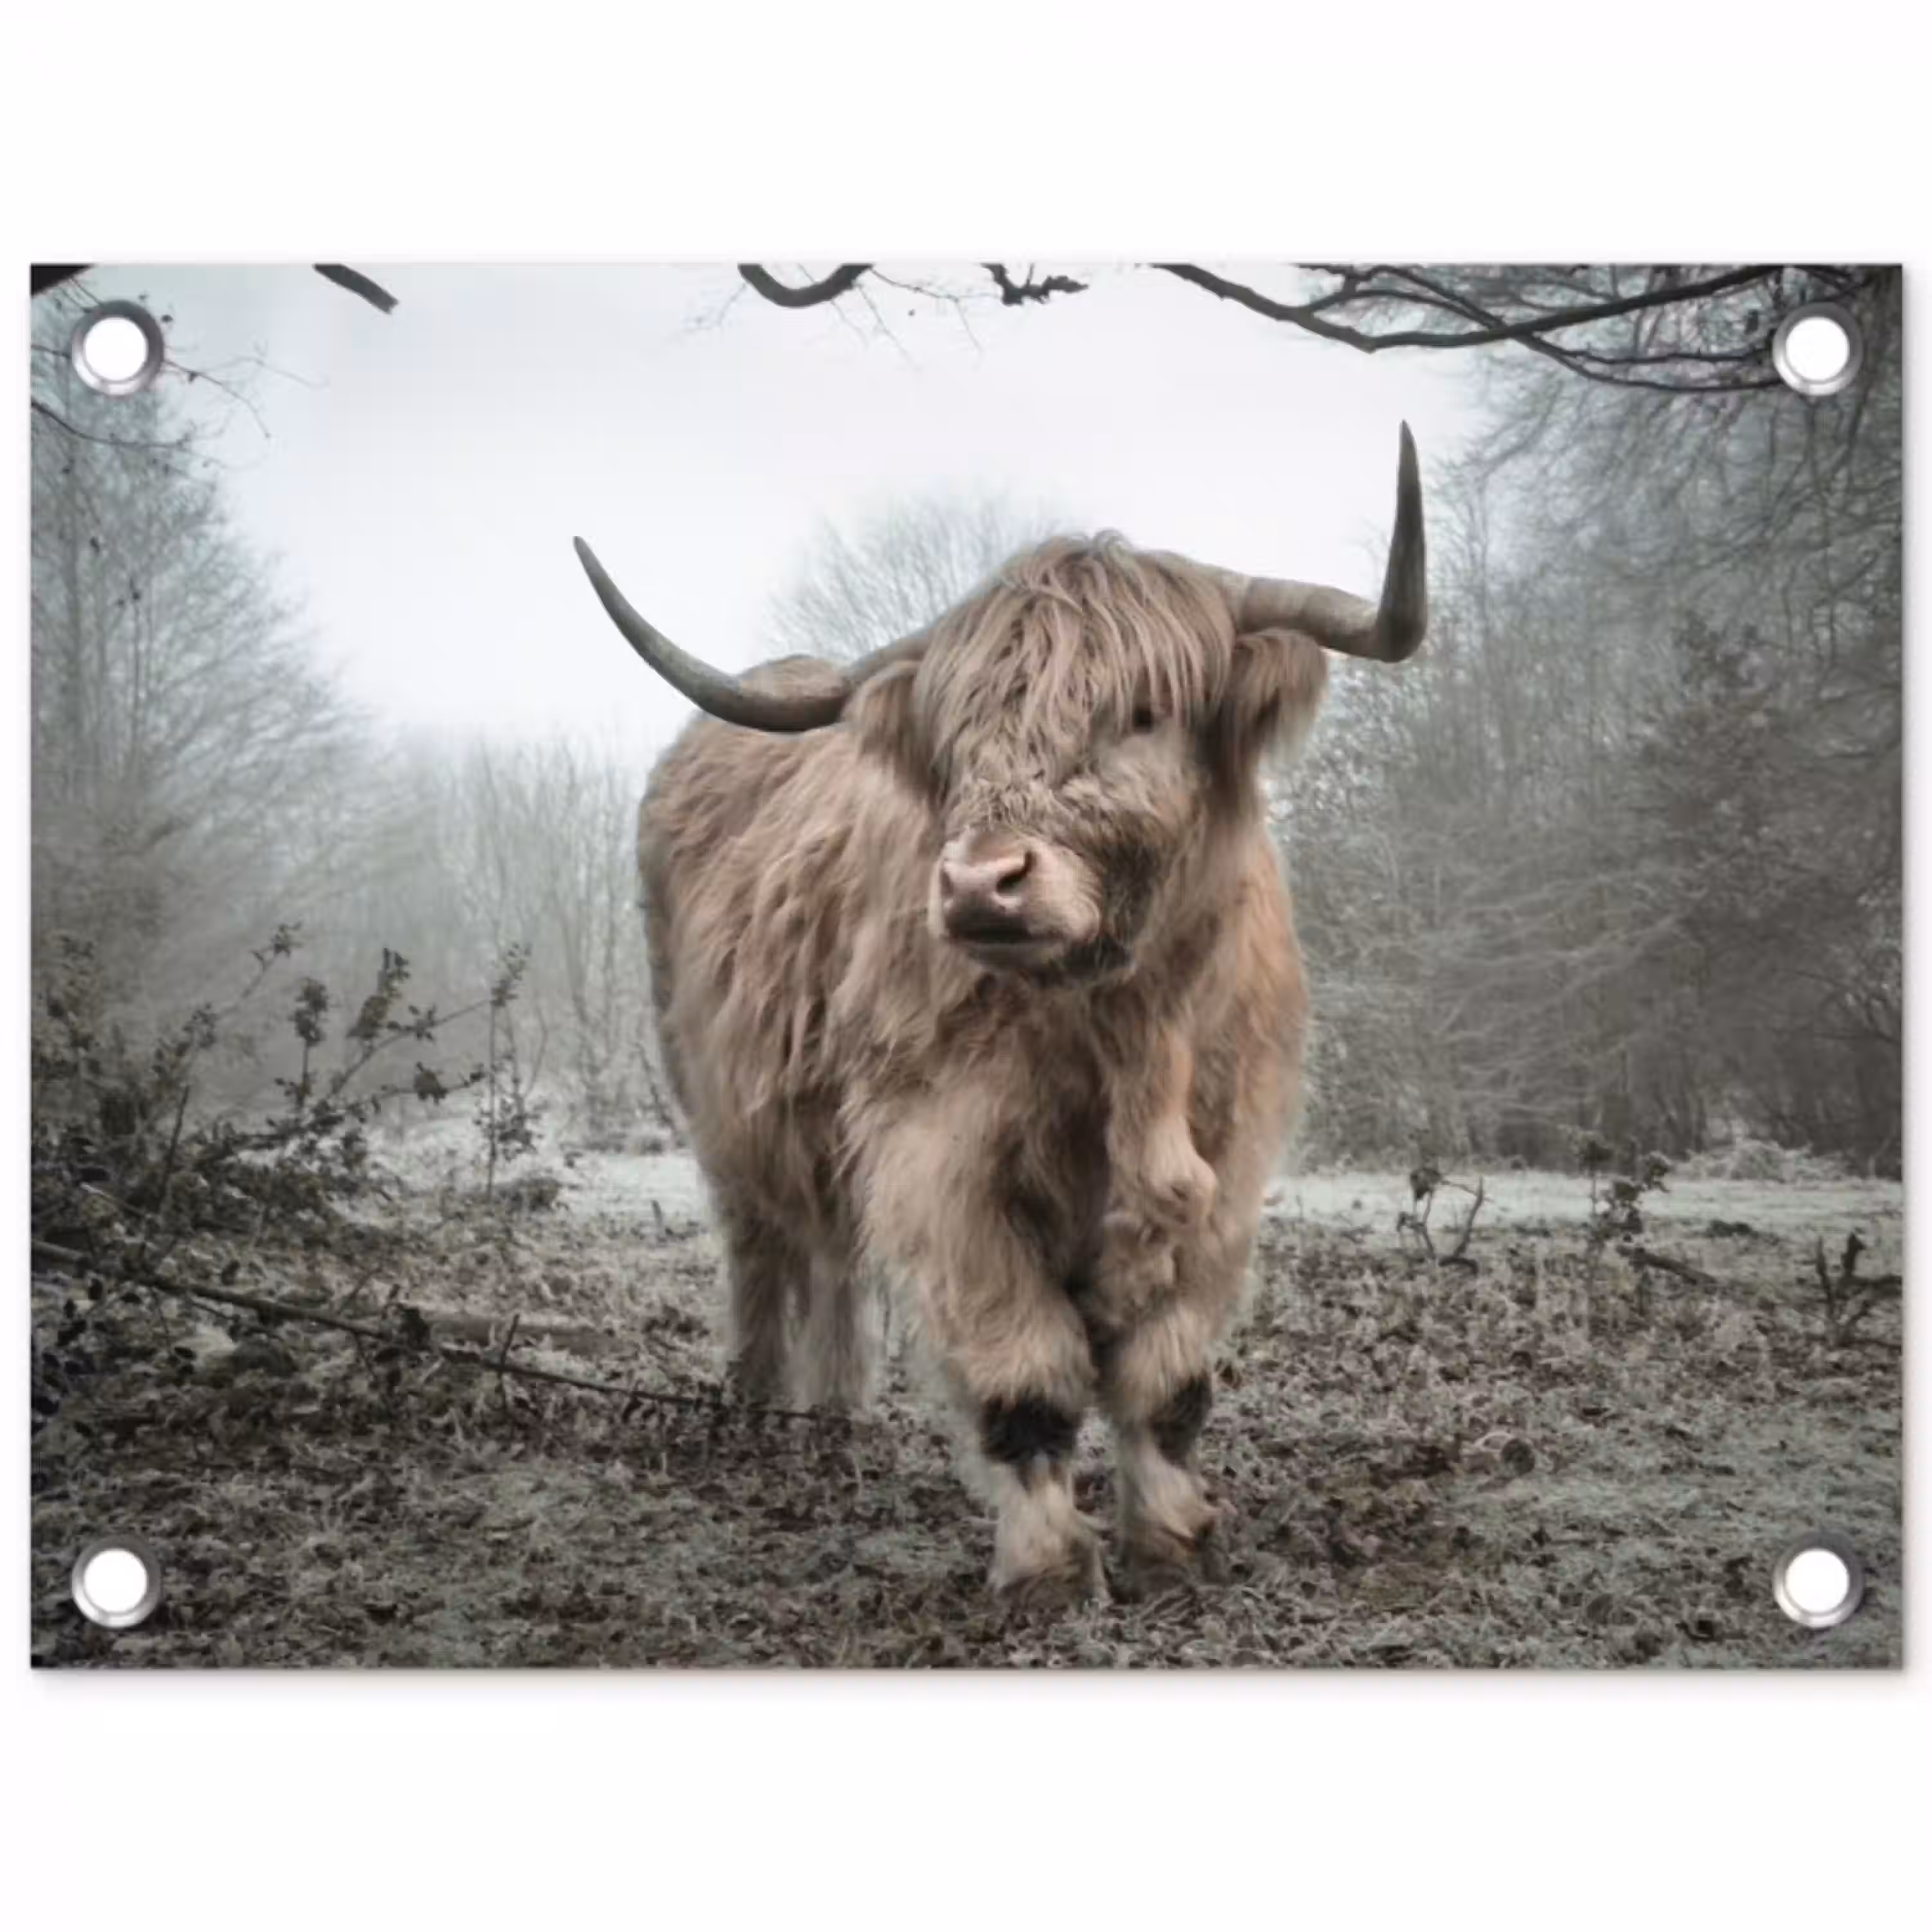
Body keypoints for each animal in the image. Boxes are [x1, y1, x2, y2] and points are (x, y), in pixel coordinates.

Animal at [573, 427, 1426, 1606]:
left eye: (1143, 713)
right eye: (959, 737)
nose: (982, 884)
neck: (1125, 1033)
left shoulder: (1230, 1164)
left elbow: (1167, 1381)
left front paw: (1172, 1543)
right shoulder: (942, 1160)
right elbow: (1026, 1377)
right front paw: (1050, 1570)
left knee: (832, 1258)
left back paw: (836, 1416)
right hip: (719, 1104)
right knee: (763, 1250)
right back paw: (758, 1409)